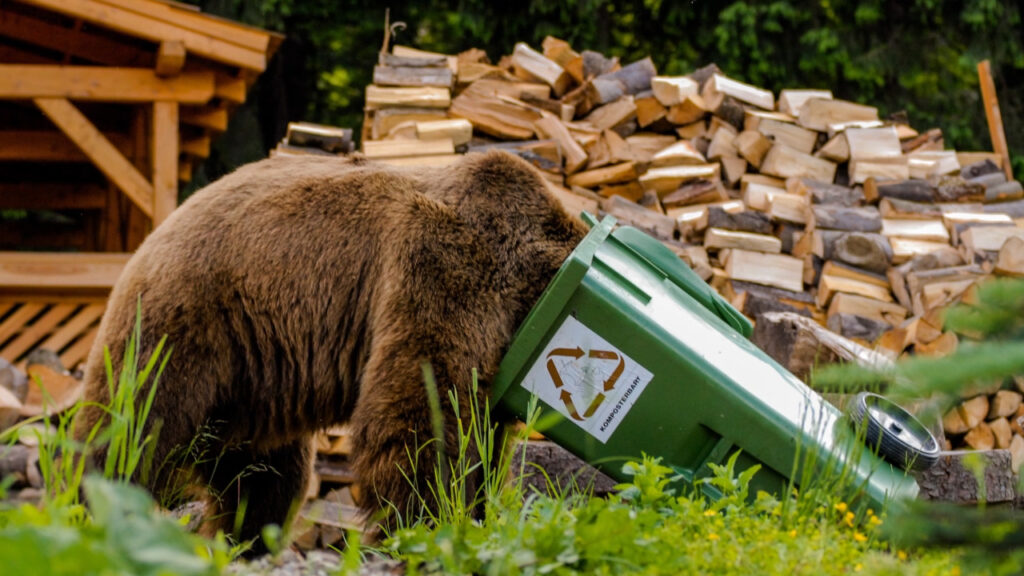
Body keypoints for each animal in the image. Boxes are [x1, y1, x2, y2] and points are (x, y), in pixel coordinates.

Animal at [76, 149, 588, 554]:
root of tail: (161, 228)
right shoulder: (442, 272)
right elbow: (425, 415)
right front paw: (430, 521)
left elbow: (481, 437)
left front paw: (476, 512)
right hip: (188, 322)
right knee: (132, 424)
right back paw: (93, 504)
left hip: (251, 376)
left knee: (262, 473)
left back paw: (245, 536)